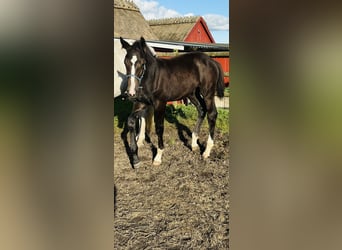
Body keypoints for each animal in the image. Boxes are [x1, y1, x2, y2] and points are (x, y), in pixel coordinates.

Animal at [119, 36, 224, 166]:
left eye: (142, 63)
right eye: (125, 62)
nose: (131, 92)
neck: (152, 77)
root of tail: (212, 61)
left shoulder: (160, 103)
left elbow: (159, 127)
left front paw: (158, 156)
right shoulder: (141, 102)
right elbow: (130, 121)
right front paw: (135, 159)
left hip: (208, 93)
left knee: (212, 114)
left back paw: (207, 151)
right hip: (192, 93)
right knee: (201, 110)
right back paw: (194, 144)